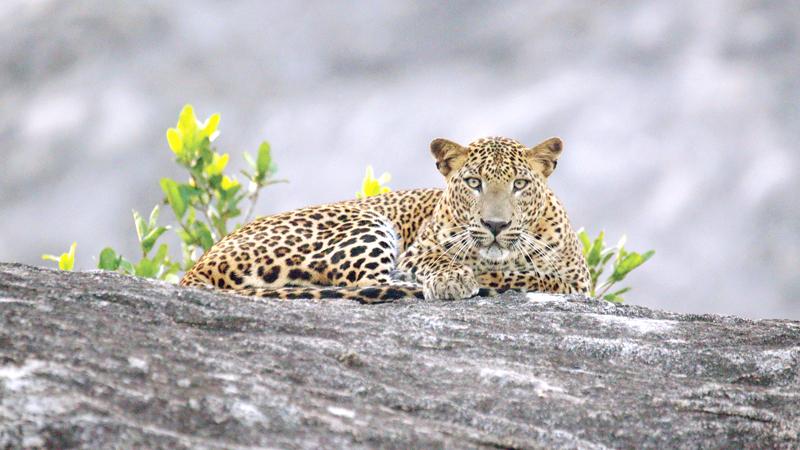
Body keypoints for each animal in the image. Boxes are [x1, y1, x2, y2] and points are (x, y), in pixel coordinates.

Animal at [183, 134, 592, 302]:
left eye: (520, 184)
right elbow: (446, 261)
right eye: (473, 183)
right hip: (363, 220)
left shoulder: (576, 278)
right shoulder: (418, 251)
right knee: (368, 282)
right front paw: (454, 278)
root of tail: (197, 267)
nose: (495, 225)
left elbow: (536, 274)